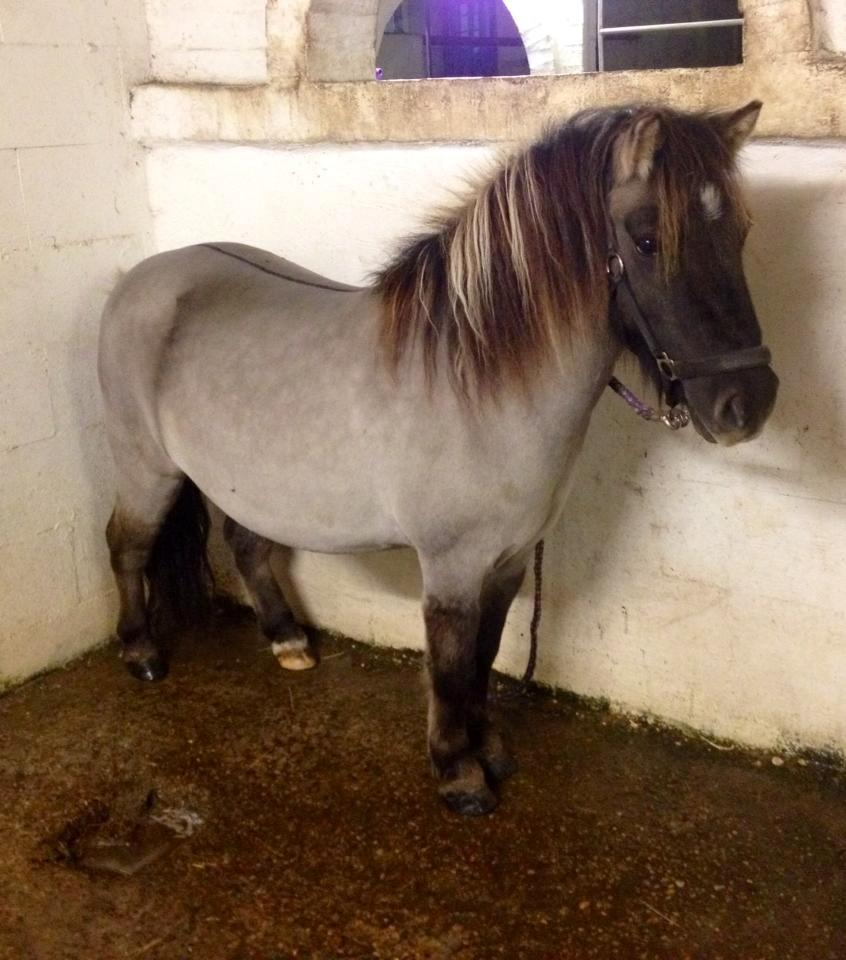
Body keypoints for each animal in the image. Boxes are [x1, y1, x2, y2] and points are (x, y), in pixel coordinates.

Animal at [98, 102, 778, 816]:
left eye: (739, 232)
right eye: (647, 240)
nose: (746, 404)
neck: (480, 381)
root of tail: (144, 276)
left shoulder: (508, 561)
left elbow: (483, 657)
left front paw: (489, 749)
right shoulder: (452, 566)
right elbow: (451, 664)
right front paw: (459, 772)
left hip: (248, 485)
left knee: (246, 545)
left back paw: (287, 639)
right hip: (147, 470)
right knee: (127, 545)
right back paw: (141, 651)